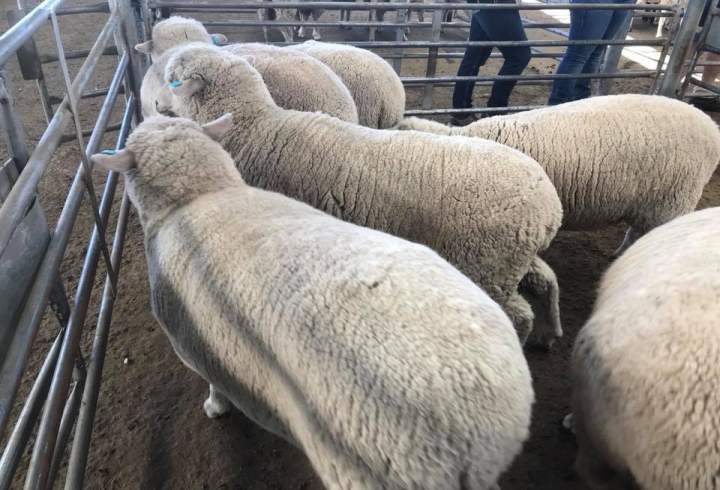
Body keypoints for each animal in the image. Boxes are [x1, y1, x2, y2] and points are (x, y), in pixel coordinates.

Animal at [159, 44, 564, 347]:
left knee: (518, 314)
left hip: (486, 264)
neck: (255, 128)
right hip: (509, 260)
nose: (158, 107)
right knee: (545, 279)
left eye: (170, 78)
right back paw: (550, 334)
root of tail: (549, 208)